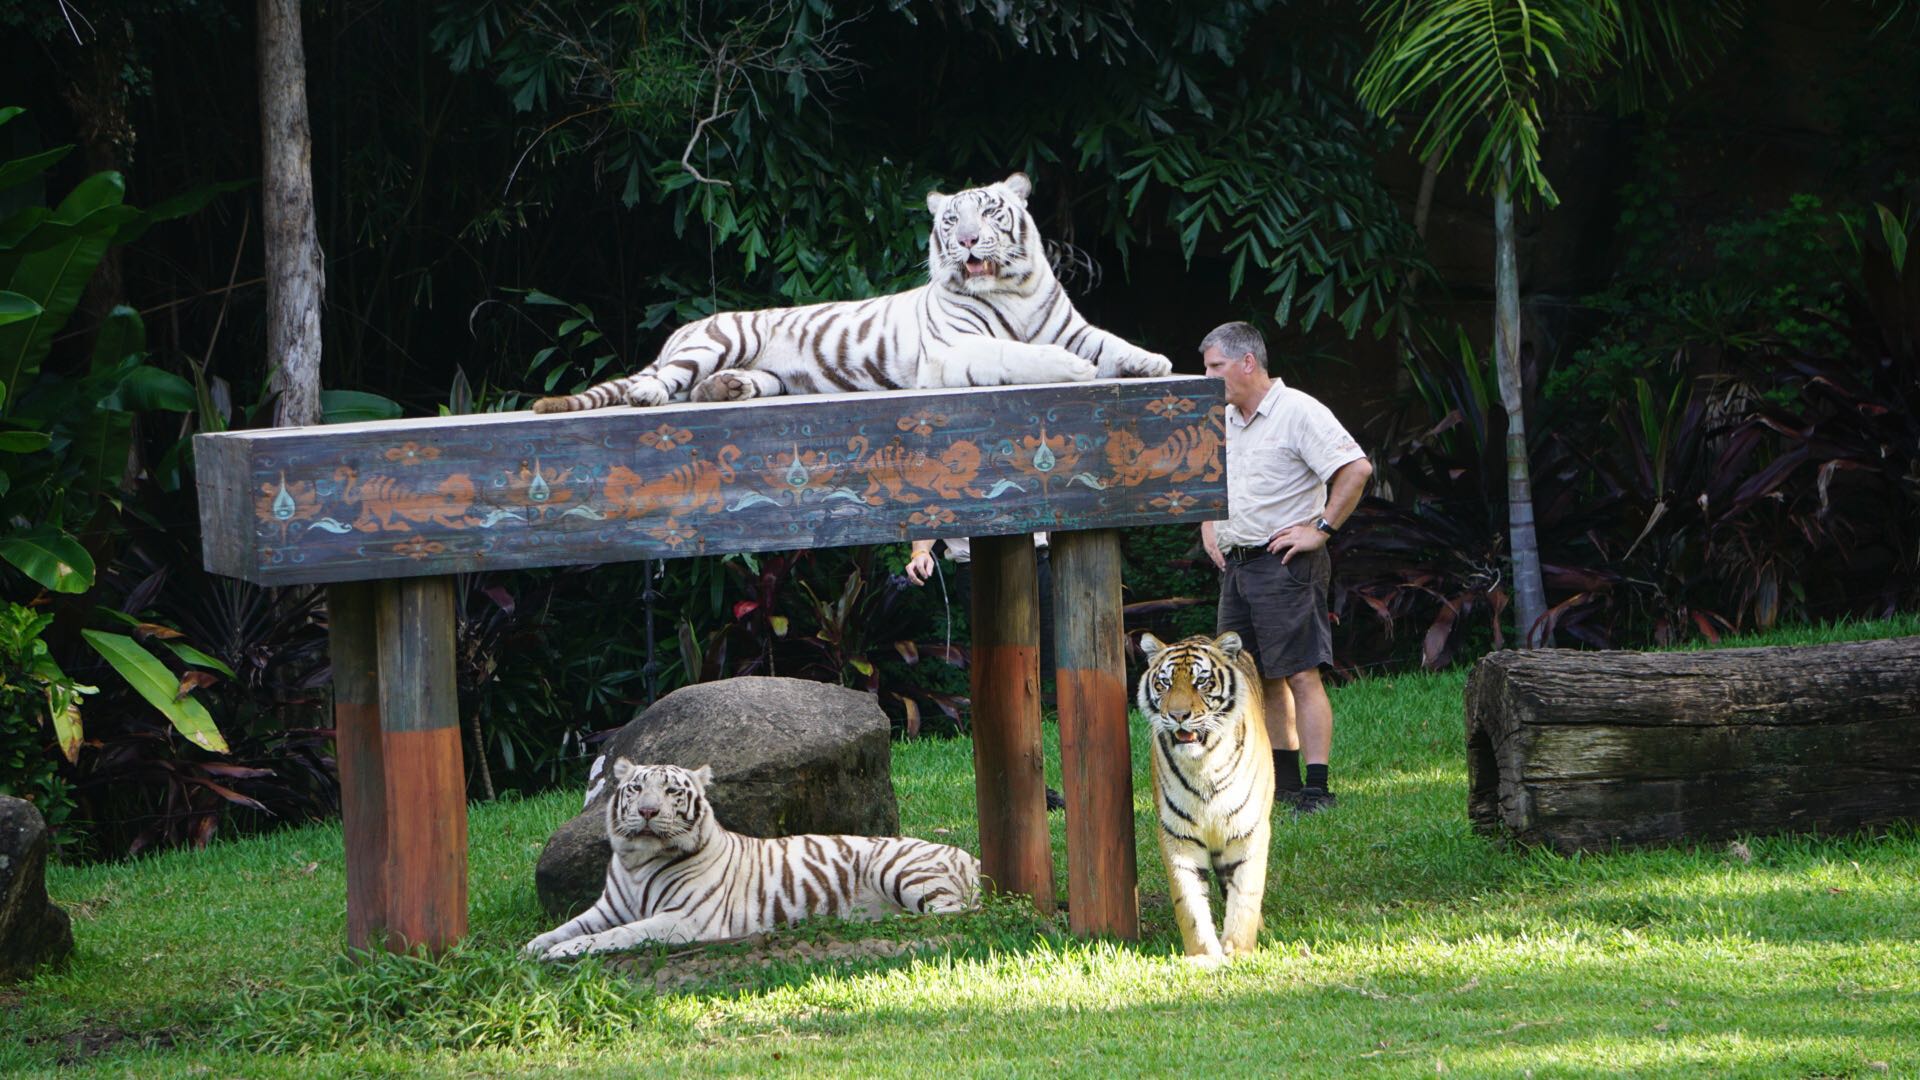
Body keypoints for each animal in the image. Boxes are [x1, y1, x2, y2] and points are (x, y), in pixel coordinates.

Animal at [522, 757, 975, 957]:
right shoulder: (608, 908)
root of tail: (969, 855)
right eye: (636, 789)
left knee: (955, 912)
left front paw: (563, 952)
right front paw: (532, 948)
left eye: (671, 791)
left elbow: (616, 936)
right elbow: (566, 927)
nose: (648, 811)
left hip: (897, 868)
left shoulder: (683, 919)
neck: (637, 861)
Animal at [533, 171, 1175, 411]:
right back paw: (653, 394)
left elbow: (1111, 343)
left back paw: (727, 389)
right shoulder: (952, 350)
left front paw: (1154, 360)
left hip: (767, 372)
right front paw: (1070, 369)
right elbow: (1015, 352)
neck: (1011, 289)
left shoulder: (1073, 326)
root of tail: (681, 329)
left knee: (707, 388)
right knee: (663, 382)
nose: (968, 241)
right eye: (951, 220)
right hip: (714, 341)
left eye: (990, 212)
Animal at [1136, 626, 1274, 960]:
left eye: (1201, 681)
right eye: (1164, 683)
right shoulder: (1177, 834)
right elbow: (1188, 901)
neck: (1203, 764)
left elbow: (1245, 893)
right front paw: (1203, 956)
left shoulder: (1250, 828)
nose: (1178, 715)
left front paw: (1238, 949)